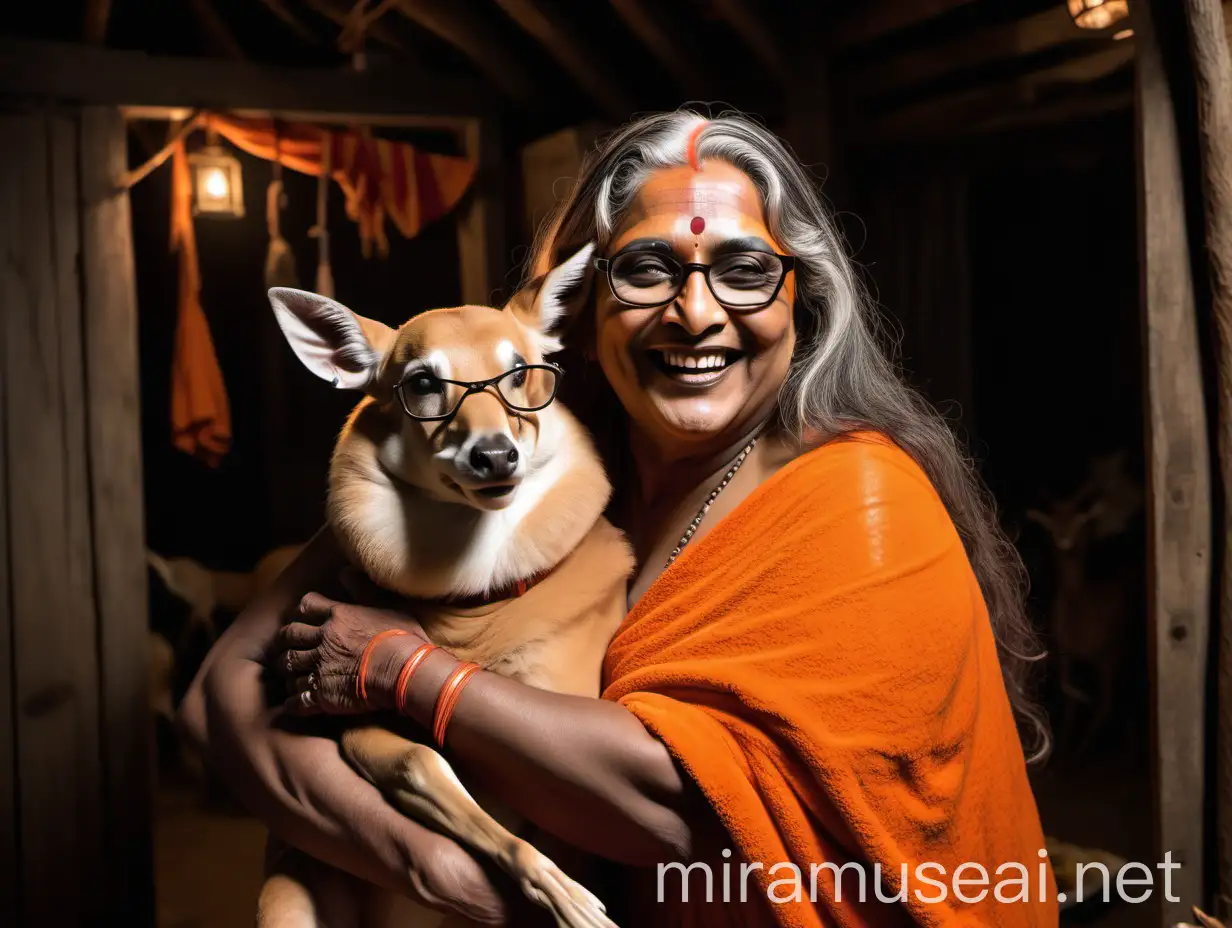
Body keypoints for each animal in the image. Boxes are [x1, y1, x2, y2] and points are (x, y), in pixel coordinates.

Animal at [255, 240, 630, 926]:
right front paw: (555, 888)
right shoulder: (362, 731)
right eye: (423, 384)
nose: (495, 454)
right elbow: (422, 761)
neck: (471, 597)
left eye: (519, 373)